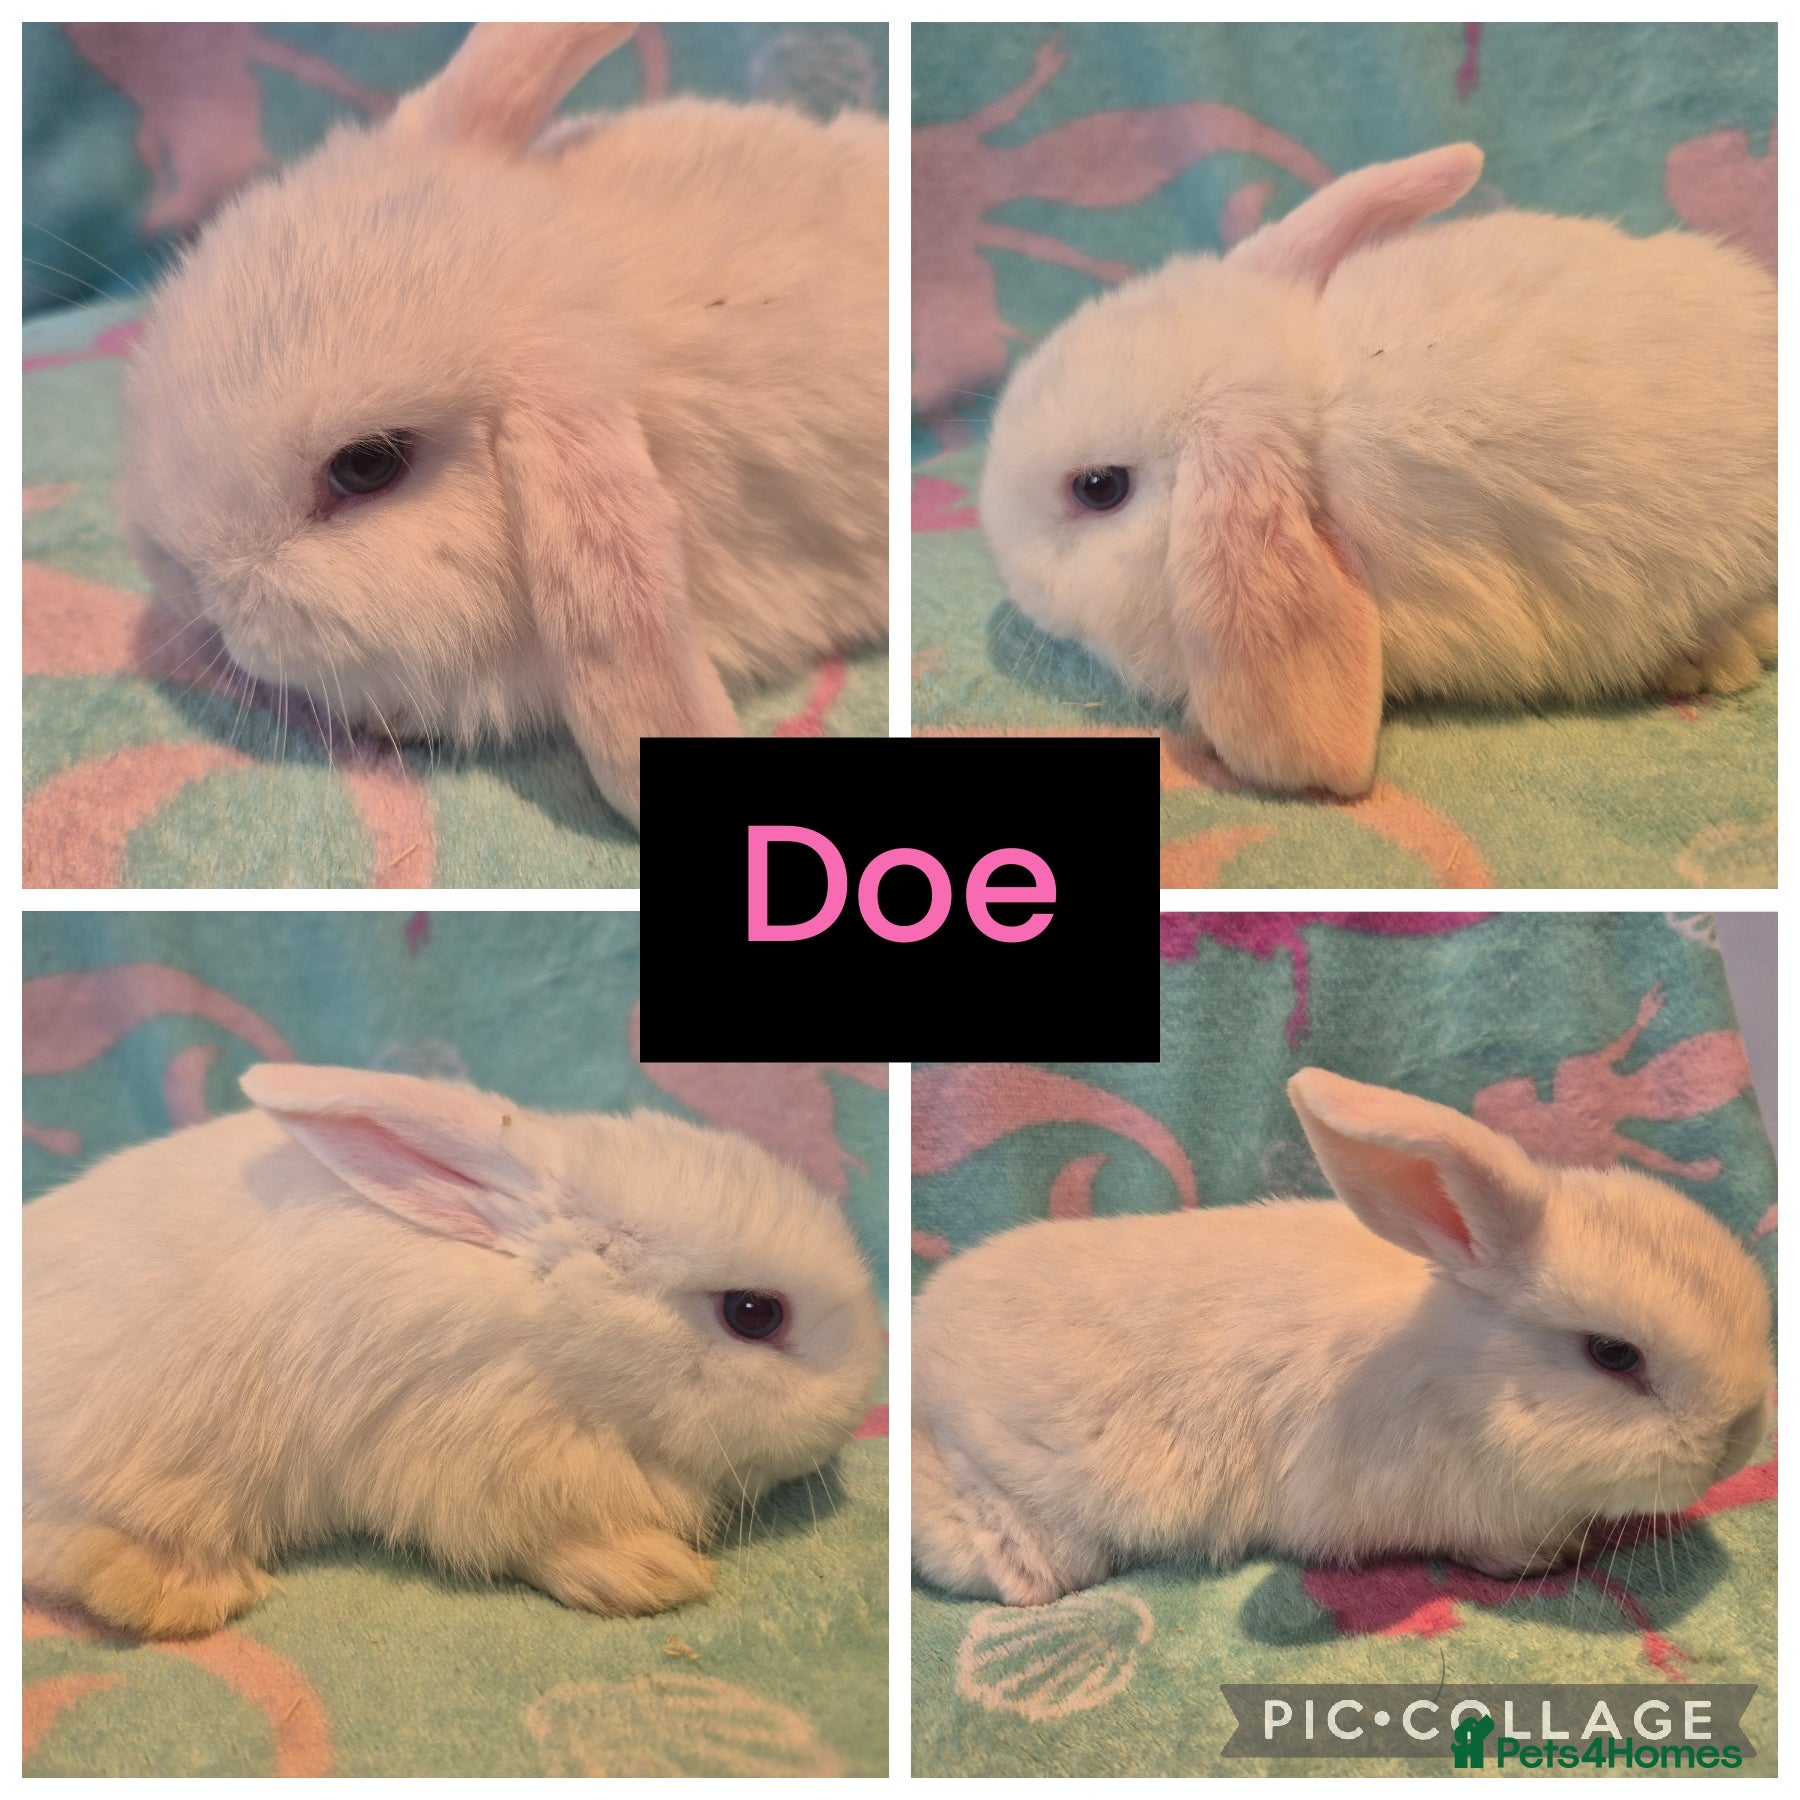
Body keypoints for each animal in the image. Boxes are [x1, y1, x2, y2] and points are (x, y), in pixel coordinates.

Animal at [24, 1064, 883, 1638]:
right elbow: (536, 1540)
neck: (551, 1319)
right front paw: (650, 1574)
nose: (852, 1409)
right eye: (753, 1314)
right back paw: (181, 1590)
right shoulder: (471, 1456)